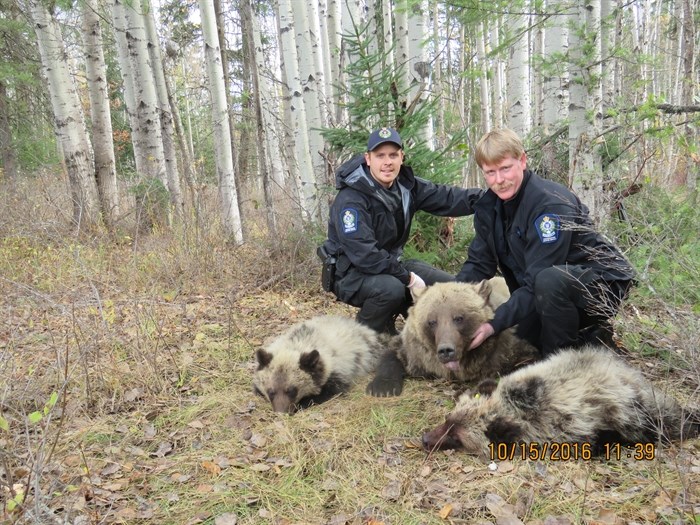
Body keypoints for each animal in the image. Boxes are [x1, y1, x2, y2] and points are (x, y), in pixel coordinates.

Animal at [364, 276, 540, 396]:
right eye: (432, 321)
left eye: (459, 318)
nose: (446, 350)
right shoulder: (417, 353)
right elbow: (393, 351)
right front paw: (383, 388)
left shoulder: (502, 350)